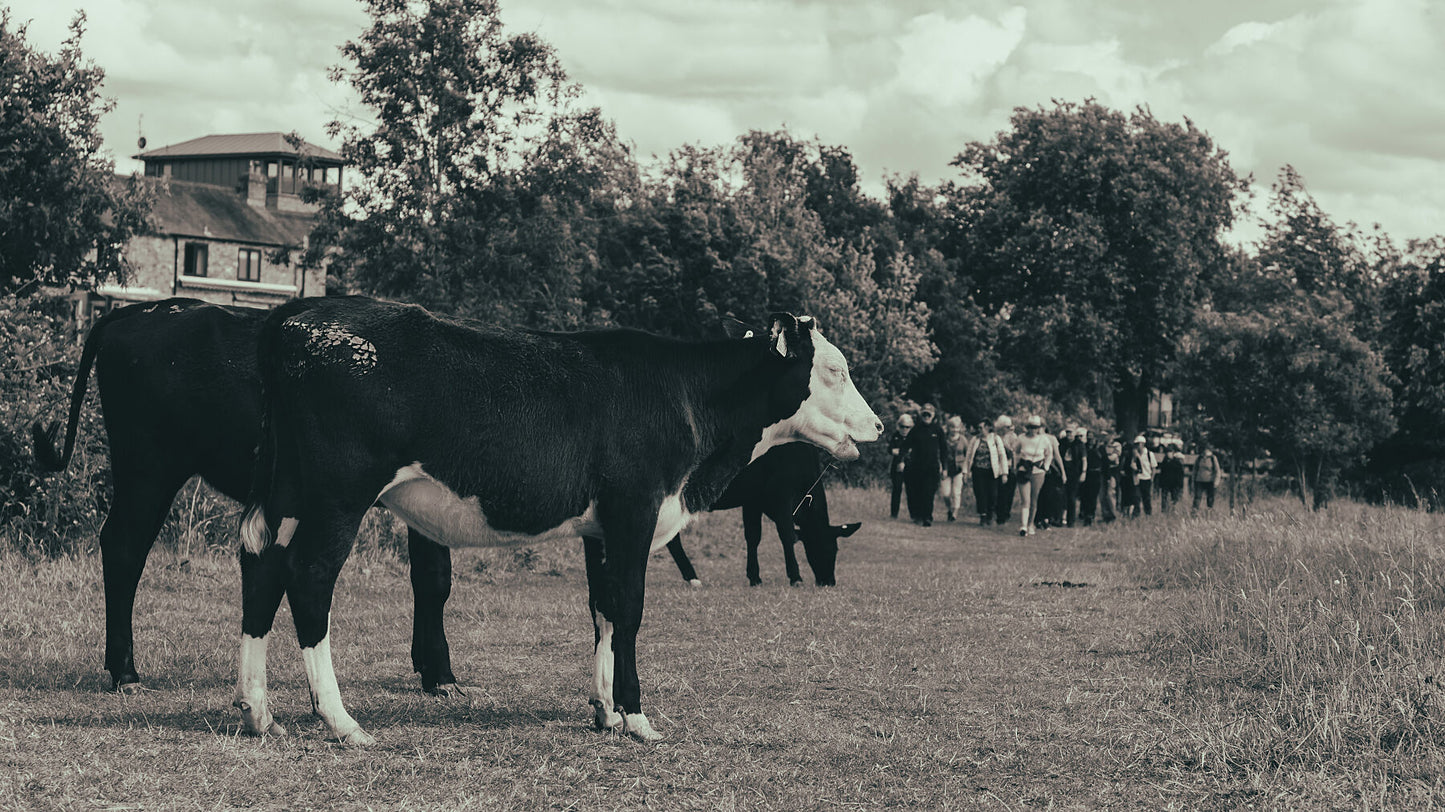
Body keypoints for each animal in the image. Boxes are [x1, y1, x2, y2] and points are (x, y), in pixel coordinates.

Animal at [32, 300, 456, 693]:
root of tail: (146, 309)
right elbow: (435, 579)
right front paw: (441, 673)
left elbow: (431, 576)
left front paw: (432, 669)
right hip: (148, 468)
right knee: (123, 547)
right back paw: (125, 671)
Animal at [236, 296, 878, 739]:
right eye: (836, 370)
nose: (877, 426)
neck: (687, 396)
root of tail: (299, 313)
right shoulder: (635, 511)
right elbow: (630, 610)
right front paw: (637, 718)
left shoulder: (602, 528)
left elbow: (603, 609)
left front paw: (606, 712)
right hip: (338, 495)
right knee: (309, 578)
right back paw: (339, 719)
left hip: (287, 493)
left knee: (261, 566)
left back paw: (258, 711)